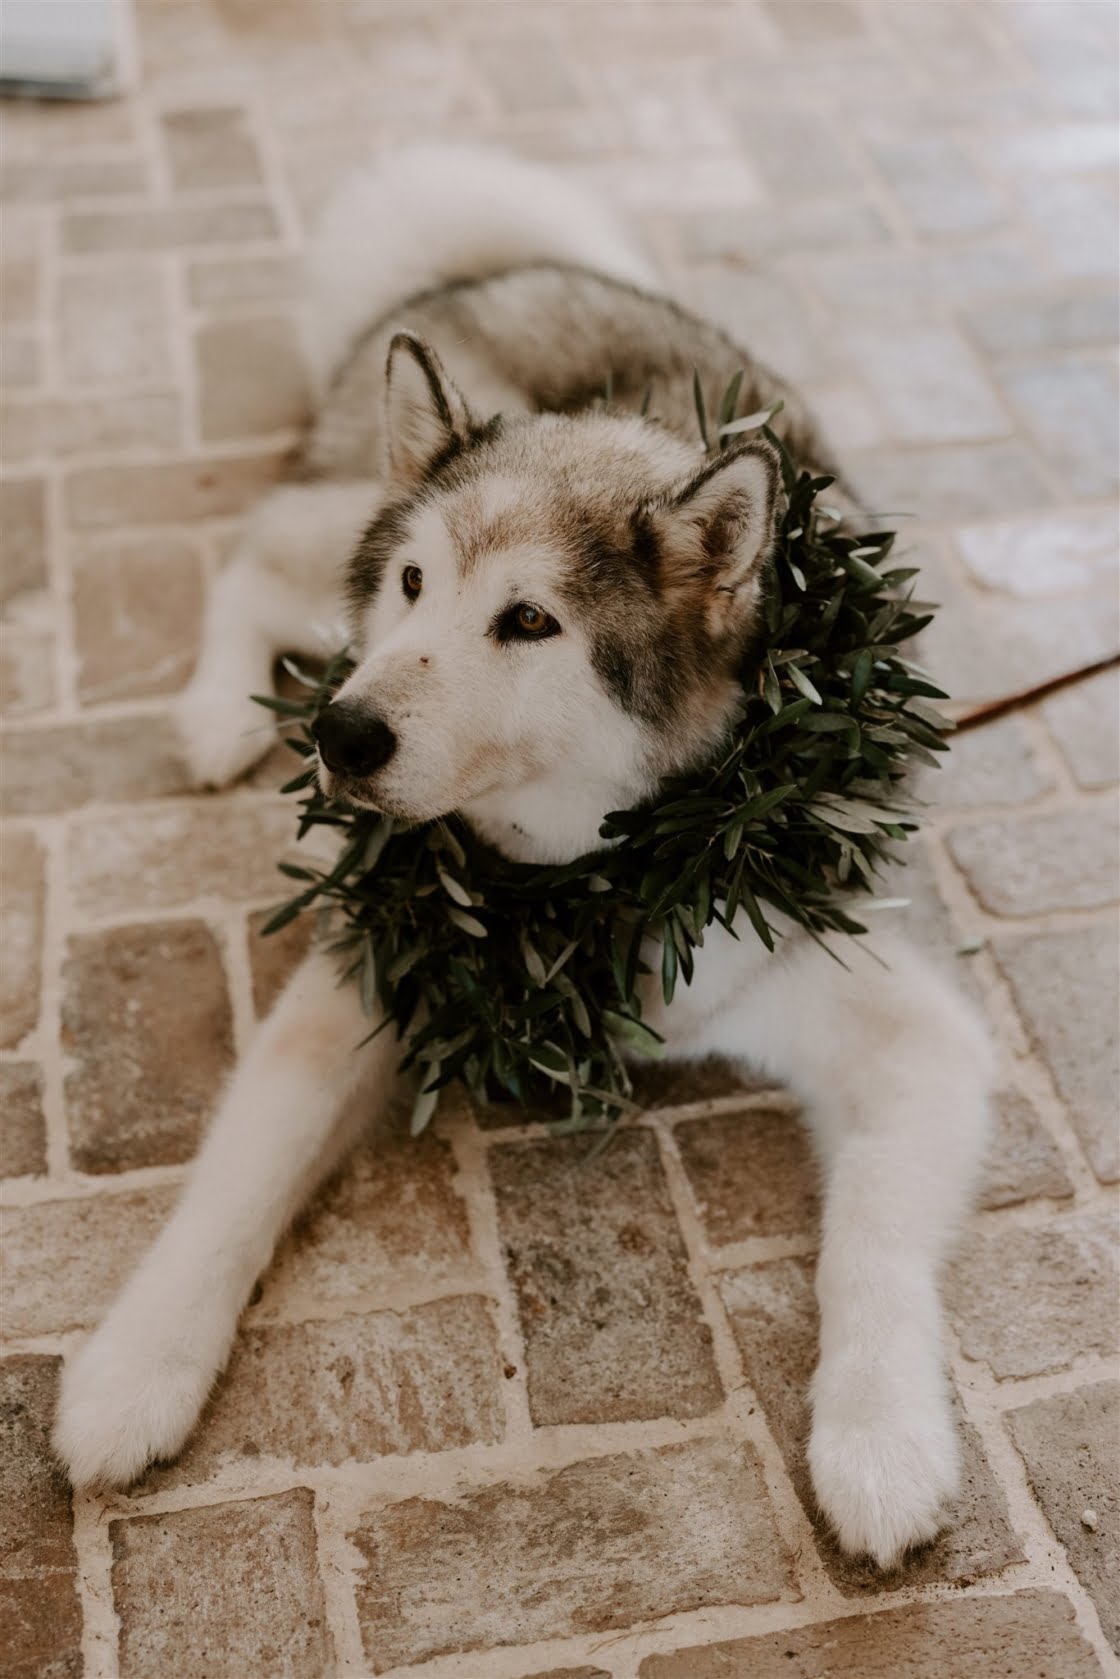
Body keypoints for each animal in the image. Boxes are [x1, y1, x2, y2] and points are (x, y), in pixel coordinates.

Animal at [54, 144, 991, 1569]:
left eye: (530, 621)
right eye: (417, 587)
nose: (342, 735)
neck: (593, 877)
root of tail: (504, 267)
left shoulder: (902, 1020)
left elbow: (870, 1241)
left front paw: (880, 1444)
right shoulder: (365, 972)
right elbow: (232, 1183)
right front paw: (132, 1367)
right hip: (332, 555)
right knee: (257, 561)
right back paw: (222, 712)